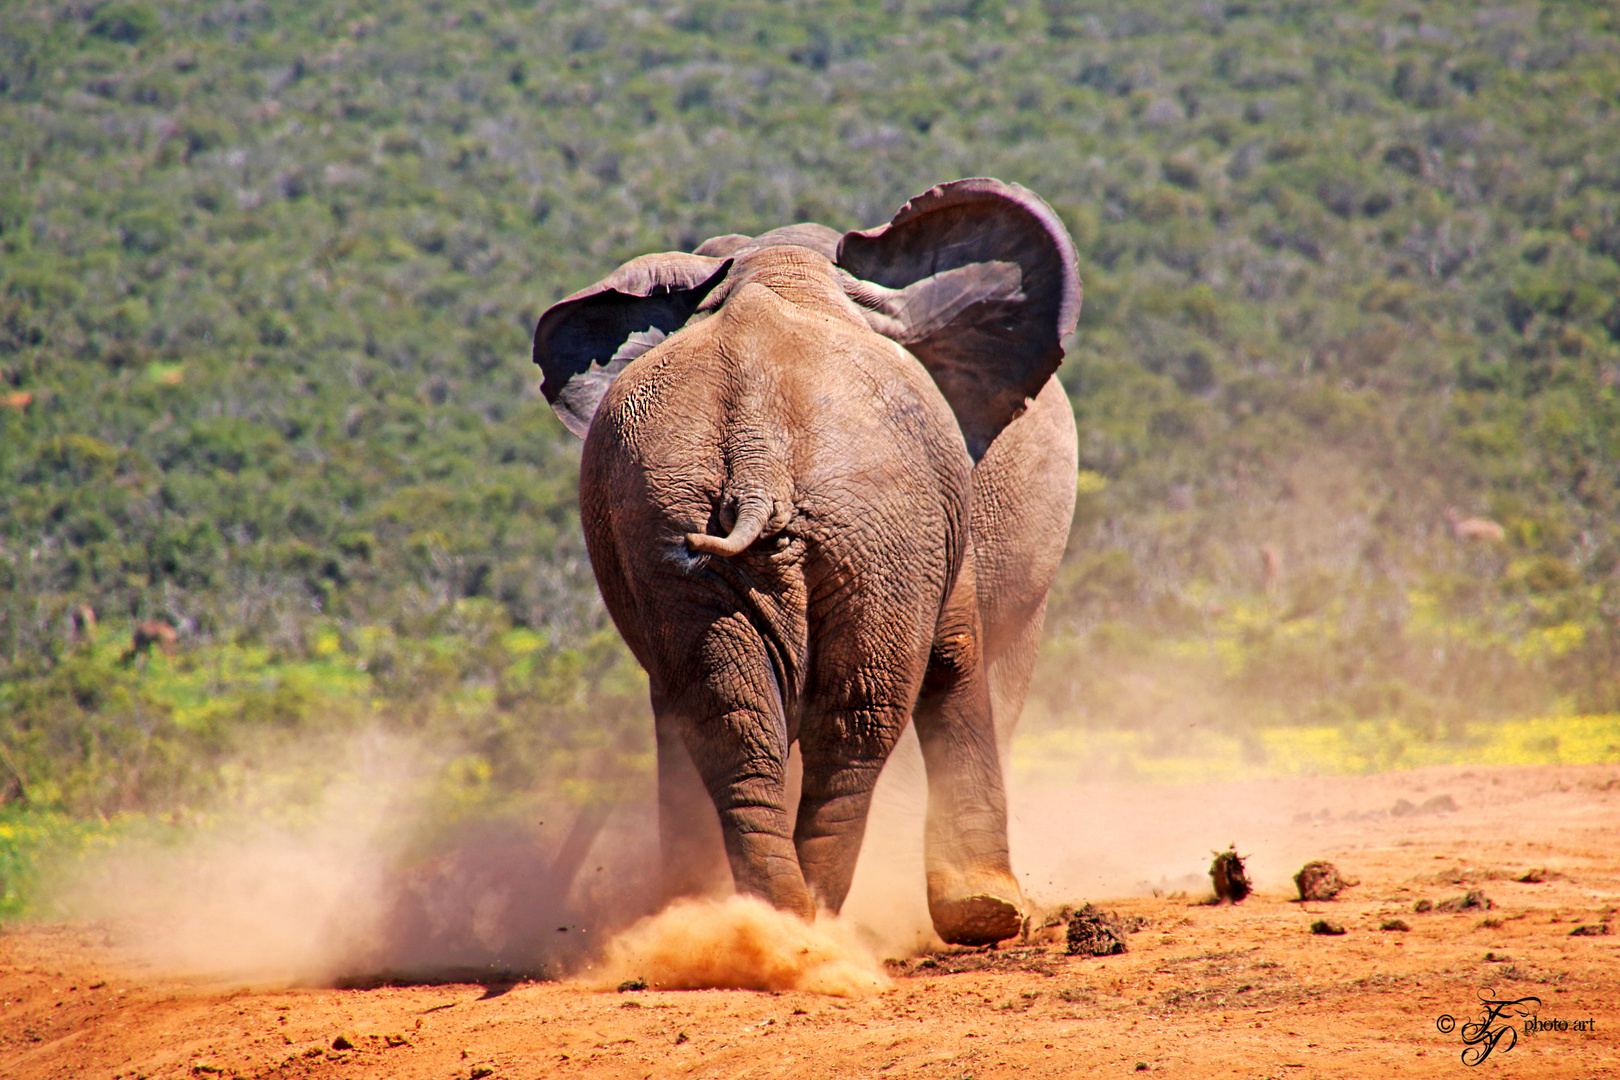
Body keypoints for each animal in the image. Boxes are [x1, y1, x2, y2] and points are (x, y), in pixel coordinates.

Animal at [531, 179, 1082, 945]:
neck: (779, 271)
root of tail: (758, 450)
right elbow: (954, 653)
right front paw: (991, 915)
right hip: (881, 534)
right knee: (858, 718)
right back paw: (818, 922)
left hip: (674, 524)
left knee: (726, 717)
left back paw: (762, 923)